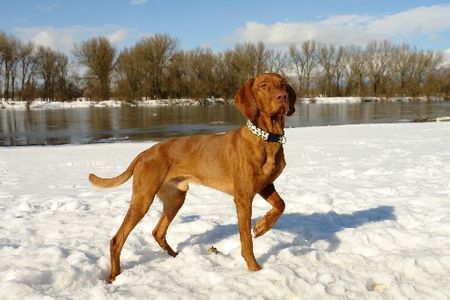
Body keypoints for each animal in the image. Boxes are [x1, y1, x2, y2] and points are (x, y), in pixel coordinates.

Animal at [89, 72, 298, 282]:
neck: (266, 139)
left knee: (158, 231)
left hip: (175, 198)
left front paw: (262, 226)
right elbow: (247, 240)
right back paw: (114, 276)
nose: (282, 97)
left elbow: (281, 205)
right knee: (117, 239)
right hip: (143, 199)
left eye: (283, 84)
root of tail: (145, 152)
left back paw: (174, 256)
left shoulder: (265, 185)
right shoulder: (243, 198)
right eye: (263, 85)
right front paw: (254, 268)